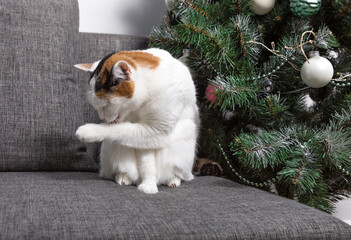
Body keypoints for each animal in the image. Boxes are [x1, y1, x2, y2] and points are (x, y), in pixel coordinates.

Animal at [74, 47, 201, 194]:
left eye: (105, 105)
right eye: (96, 106)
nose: (102, 118)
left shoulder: (157, 131)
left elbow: (119, 129)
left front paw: (86, 131)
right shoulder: (145, 136)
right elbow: (146, 160)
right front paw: (149, 185)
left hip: (184, 140)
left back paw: (173, 180)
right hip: (111, 149)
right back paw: (124, 177)